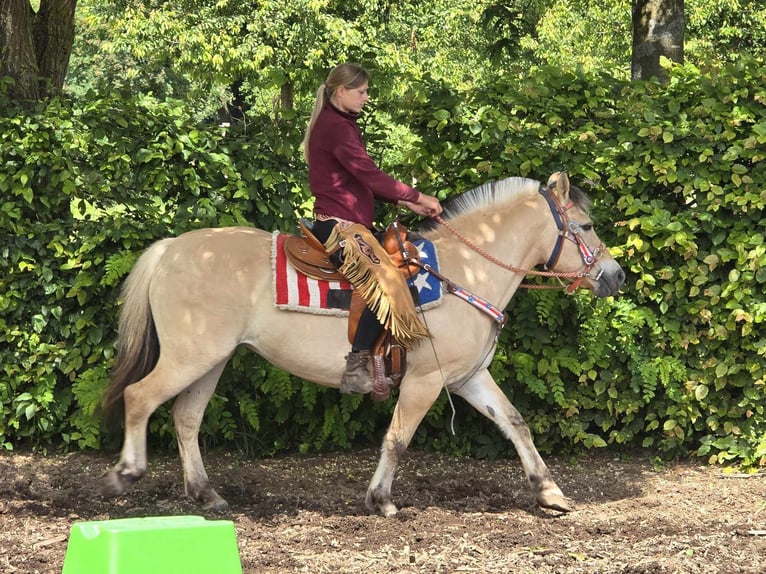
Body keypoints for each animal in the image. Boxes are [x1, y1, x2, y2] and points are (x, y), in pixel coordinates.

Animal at [102, 171, 628, 516]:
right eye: (584, 227)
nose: (616, 274)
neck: (464, 272)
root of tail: (170, 248)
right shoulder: (425, 380)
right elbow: (397, 438)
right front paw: (382, 499)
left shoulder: (469, 377)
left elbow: (516, 423)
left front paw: (549, 491)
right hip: (190, 356)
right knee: (140, 397)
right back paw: (125, 471)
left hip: (211, 360)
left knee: (186, 418)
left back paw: (205, 493)